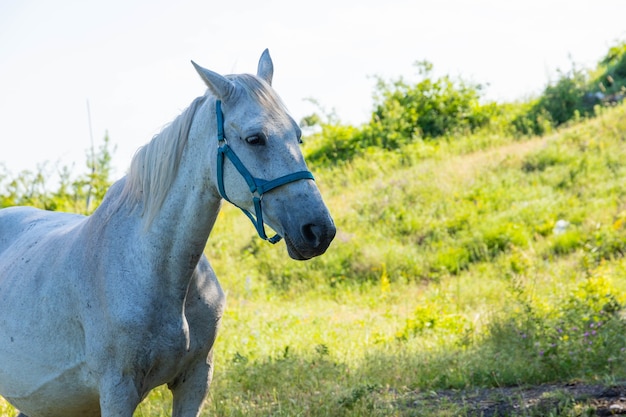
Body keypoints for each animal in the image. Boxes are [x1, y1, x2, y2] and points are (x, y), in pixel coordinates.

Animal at [0, 51, 334, 416]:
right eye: (254, 138)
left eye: (298, 136)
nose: (319, 230)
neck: (150, 266)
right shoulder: (118, 391)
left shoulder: (196, 378)